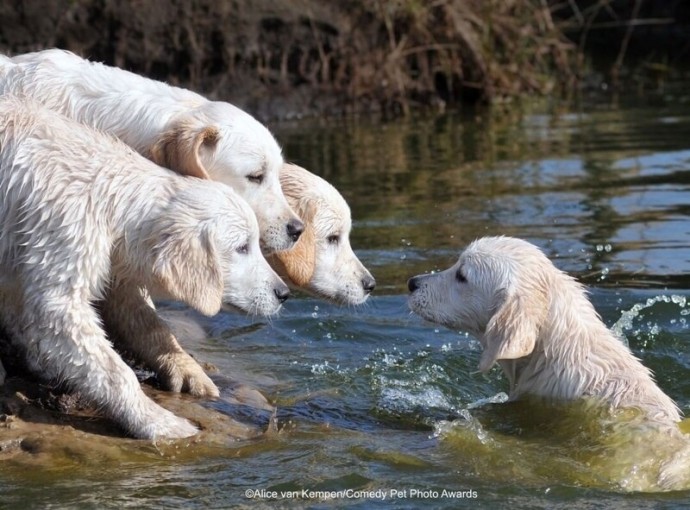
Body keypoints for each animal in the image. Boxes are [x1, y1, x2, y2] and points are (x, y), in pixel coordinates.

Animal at [0, 96, 288, 438]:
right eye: (242, 247)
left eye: (253, 243)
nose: (283, 293)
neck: (108, 191)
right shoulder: (61, 228)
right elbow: (65, 321)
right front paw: (162, 423)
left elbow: (135, 312)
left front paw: (186, 369)